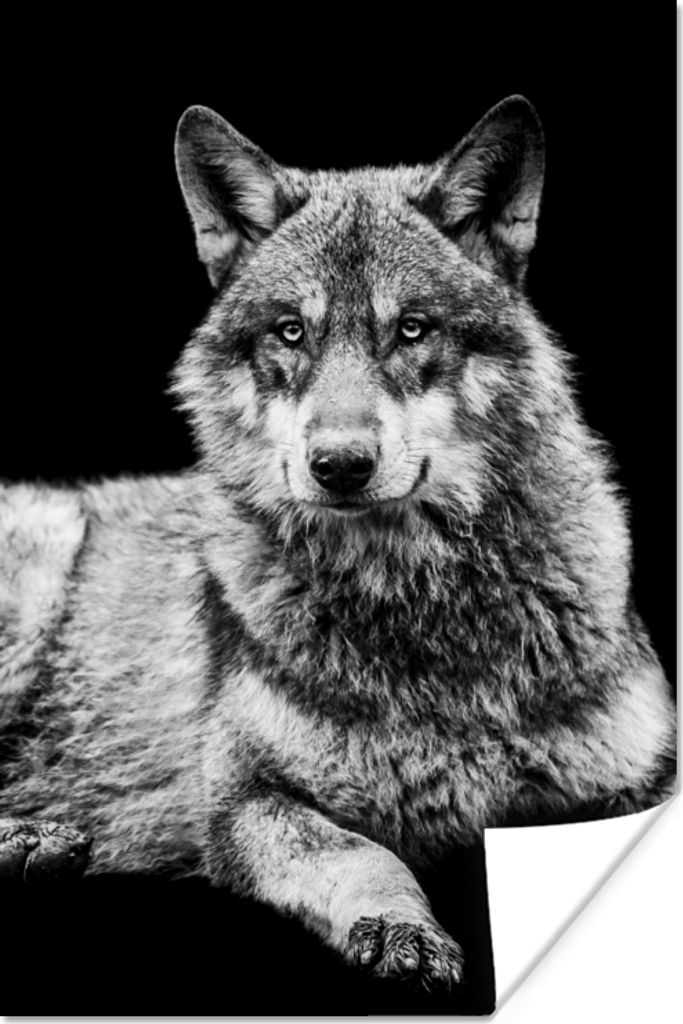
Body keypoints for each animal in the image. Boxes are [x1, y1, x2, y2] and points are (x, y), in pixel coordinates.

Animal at [0, 96, 675, 990]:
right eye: (291, 333)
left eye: (411, 330)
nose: (341, 466)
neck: (416, 604)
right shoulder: (244, 801)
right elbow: (363, 853)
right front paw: (399, 927)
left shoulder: (642, 779)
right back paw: (29, 839)